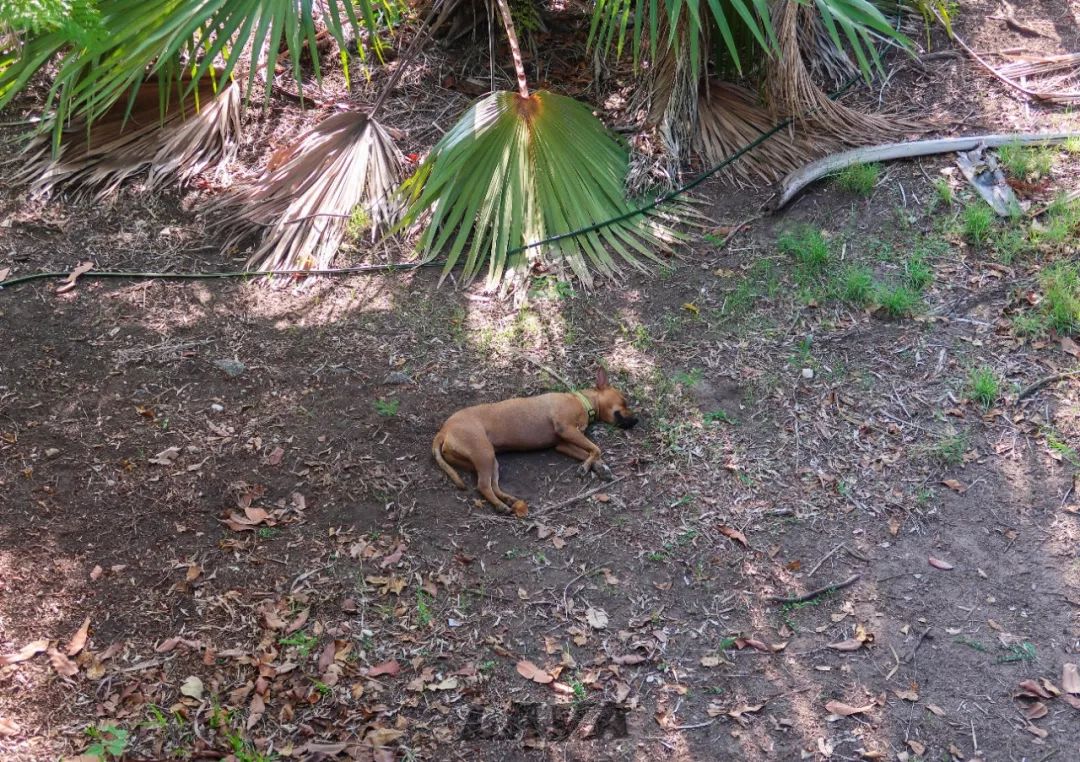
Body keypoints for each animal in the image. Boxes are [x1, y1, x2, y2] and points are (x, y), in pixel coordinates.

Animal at [429, 366, 630, 515]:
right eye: (624, 401)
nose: (636, 420)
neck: (582, 402)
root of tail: (444, 430)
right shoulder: (566, 429)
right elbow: (596, 448)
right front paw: (587, 467)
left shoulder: (563, 443)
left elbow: (588, 452)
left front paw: (600, 467)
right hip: (483, 454)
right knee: (483, 486)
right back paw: (500, 505)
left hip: (490, 460)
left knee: (493, 484)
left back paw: (509, 499)